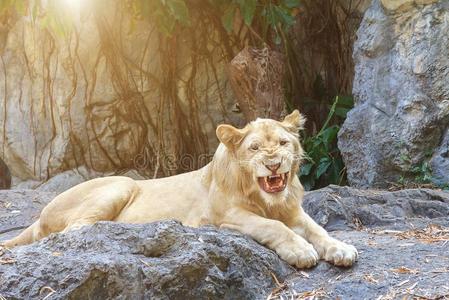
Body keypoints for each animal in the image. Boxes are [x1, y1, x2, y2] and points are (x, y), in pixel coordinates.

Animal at [1, 111, 356, 268]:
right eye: (254, 148)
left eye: (283, 143)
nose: (273, 164)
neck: (268, 199)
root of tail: (39, 215)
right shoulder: (226, 216)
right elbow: (274, 227)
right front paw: (301, 251)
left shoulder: (293, 211)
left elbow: (319, 229)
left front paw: (340, 249)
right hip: (121, 183)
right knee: (73, 230)